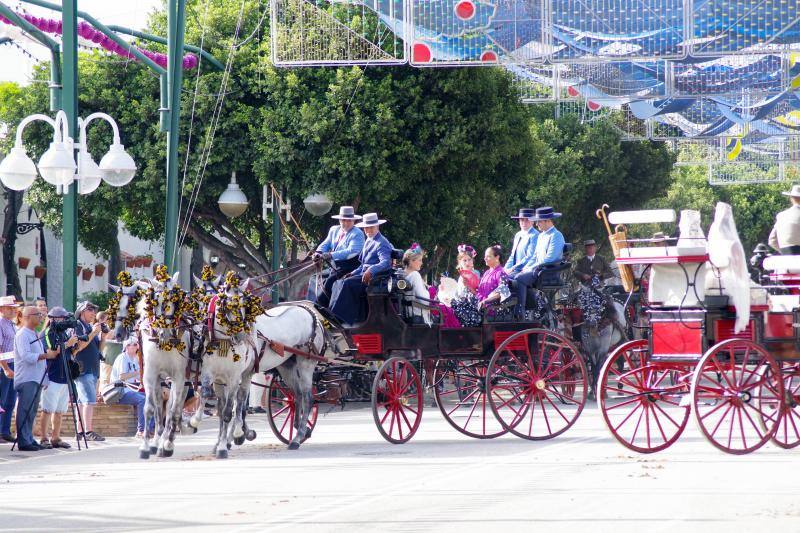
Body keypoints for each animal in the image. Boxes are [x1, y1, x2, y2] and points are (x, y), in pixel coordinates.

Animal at [138, 272, 192, 460]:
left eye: (174, 300)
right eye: (154, 302)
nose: (165, 333)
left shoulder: (179, 377)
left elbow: (172, 411)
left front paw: (166, 444)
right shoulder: (150, 375)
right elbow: (150, 409)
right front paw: (146, 447)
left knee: (173, 409)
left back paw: (167, 441)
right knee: (160, 408)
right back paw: (157, 441)